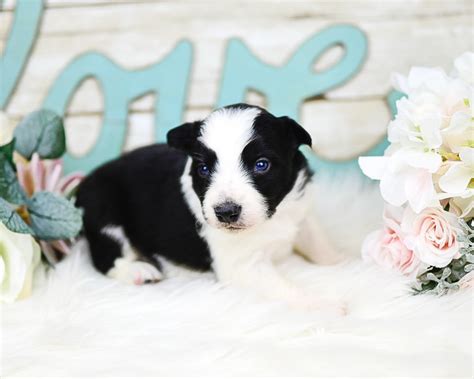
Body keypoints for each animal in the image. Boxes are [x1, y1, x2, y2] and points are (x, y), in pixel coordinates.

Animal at [78, 103, 344, 312]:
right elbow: (283, 288)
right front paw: (324, 306)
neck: (272, 217)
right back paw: (138, 271)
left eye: (261, 164)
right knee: (105, 256)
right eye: (204, 169)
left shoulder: (301, 211)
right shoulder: (243, 266)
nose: (226, 212)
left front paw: (341, 261)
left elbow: (319, 242)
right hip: (104, 211)